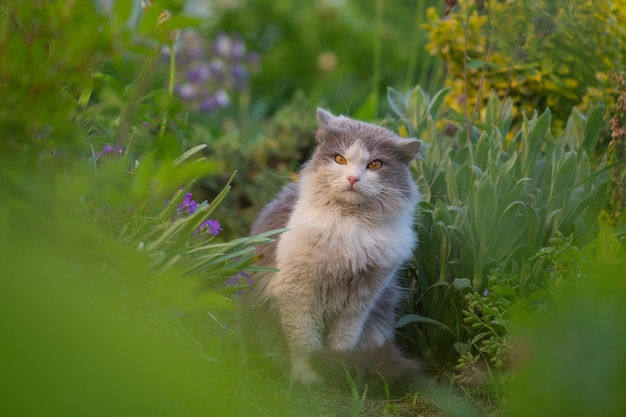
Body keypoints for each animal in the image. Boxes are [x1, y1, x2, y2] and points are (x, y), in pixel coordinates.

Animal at [239, 108, 424, 396]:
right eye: (340, 159)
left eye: (375, 165)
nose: (352, 178)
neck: (351, 226)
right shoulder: (298, 291)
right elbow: (304, 342)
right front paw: (308, 378)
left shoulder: (360, 300)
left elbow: (343, 341)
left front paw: (338, 370)